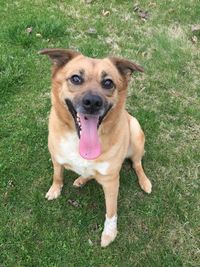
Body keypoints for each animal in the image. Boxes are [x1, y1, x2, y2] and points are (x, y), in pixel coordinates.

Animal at [38, 49, 152, 248]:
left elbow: (111, 211)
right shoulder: (56, 159)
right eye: (75, 78)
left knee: (137, 164)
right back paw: (81, 179)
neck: (80, 143)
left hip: (136, 132)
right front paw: (55, 189)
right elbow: (57, 175)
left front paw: (109, 233)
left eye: (108, 83)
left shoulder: (112, 181)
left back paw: (145, 182)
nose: (92, 102)